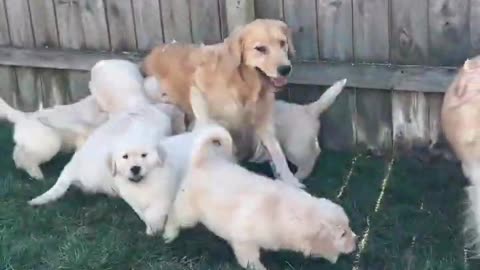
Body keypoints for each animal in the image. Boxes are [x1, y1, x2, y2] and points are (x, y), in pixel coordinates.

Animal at [165, 110, 356, 270]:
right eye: (342, 234)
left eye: (349, 227)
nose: (356, 240)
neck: (285, 212)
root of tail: (203, 160)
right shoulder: (244, 241)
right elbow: (250, 261)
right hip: (188, 212)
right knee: (175, 216)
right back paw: (169, 234)